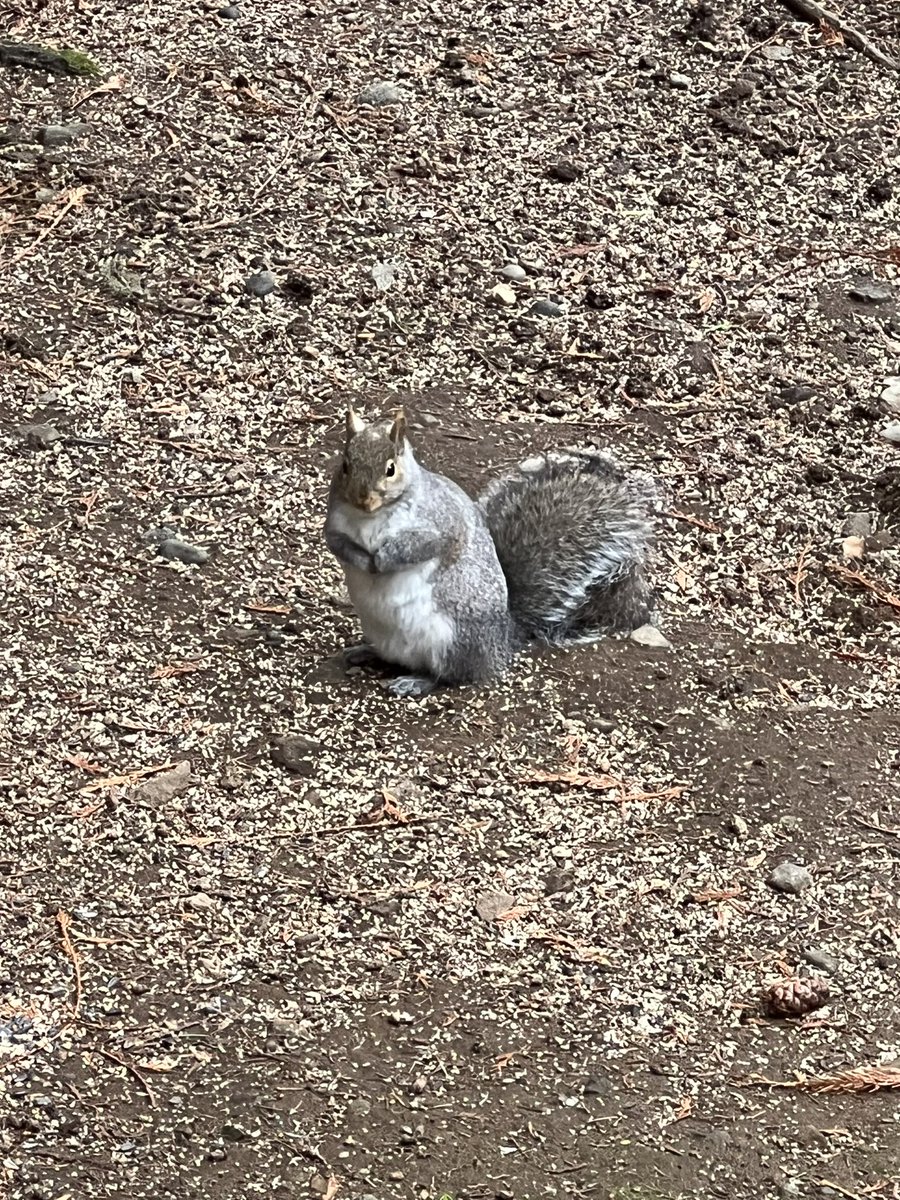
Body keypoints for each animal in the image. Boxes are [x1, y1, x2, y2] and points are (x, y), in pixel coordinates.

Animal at [324, 406, 658, 697]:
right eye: (345, 465)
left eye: (390, 469)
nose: (363, 499)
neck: (372, 517)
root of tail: (502, 642)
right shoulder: (334, 524)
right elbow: (336, 543)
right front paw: (361, 559)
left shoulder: (440, 525)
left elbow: (423, 546)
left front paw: (382, 559)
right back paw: (364, 651)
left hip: (450, 642)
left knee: (451, 675)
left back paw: (416, 681)